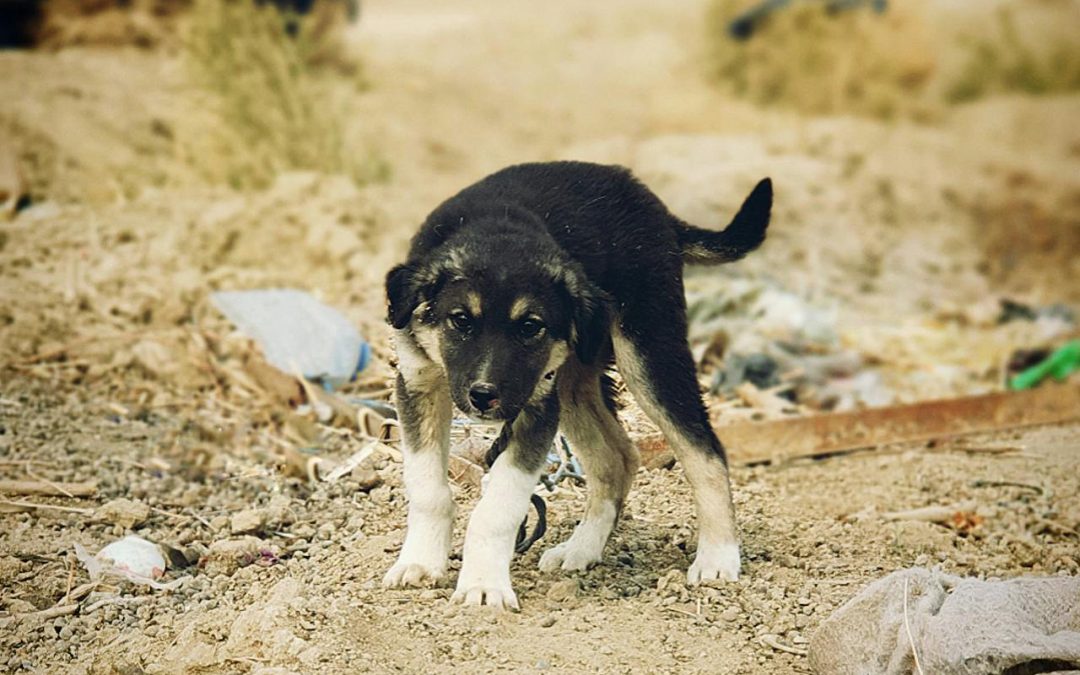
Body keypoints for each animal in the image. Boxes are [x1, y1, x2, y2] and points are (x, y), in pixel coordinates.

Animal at [384, 160, 773, 609]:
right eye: (461, 320)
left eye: (530, 326)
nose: (484, 397)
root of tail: (651, 203)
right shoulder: (417, 384)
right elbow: (428, 489)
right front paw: (420, 563)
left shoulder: (536, 406)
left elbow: (497, 508)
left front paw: (483, 586)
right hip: (574, 379)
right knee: (617, 457)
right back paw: (582, 549)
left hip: (647, 351)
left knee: (704, 451)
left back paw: (717, 557)